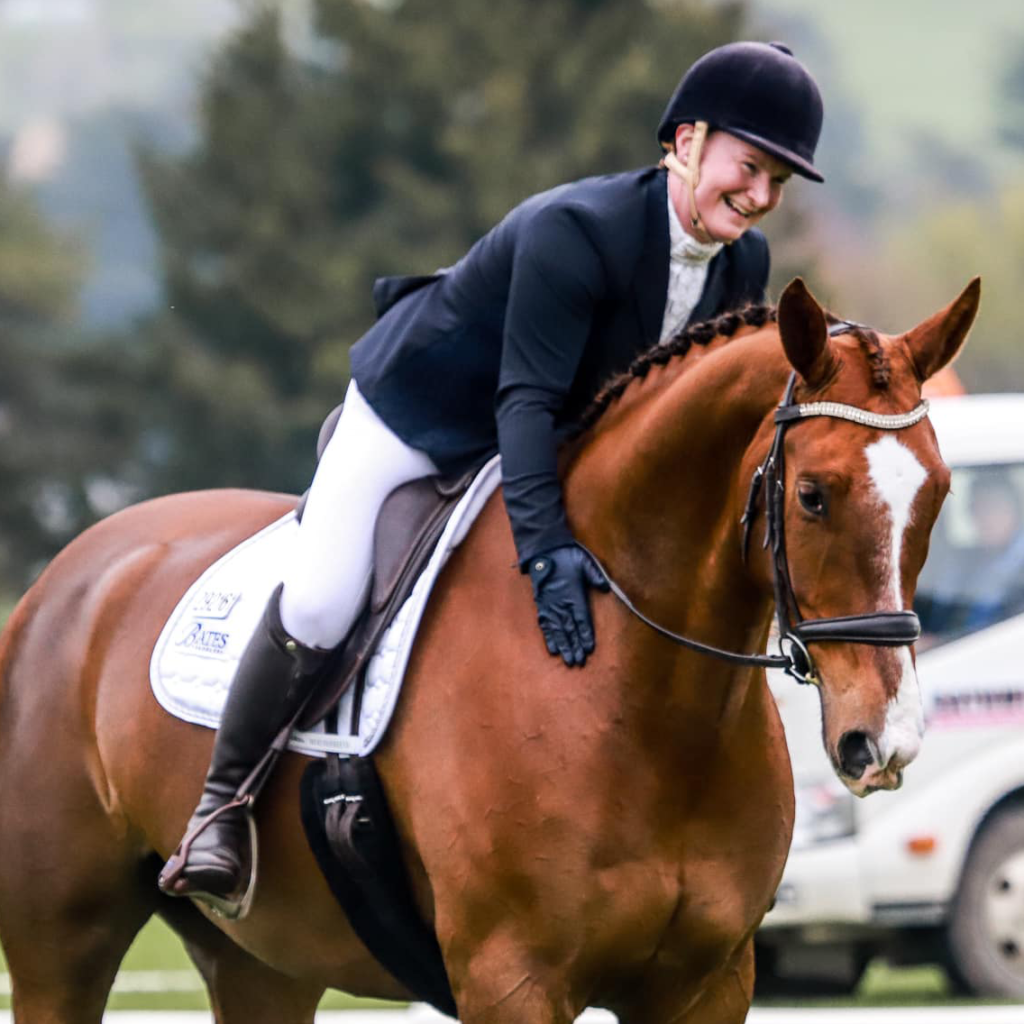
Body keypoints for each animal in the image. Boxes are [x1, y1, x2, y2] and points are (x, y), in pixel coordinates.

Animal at [0, 276, 979, 1023]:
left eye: (938, 493)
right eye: (813, 495)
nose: (883, 742)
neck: (642, 703)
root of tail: (72, 573)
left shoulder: (706, 984)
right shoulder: (513, 981)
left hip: (261, 962)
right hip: (62, 944)